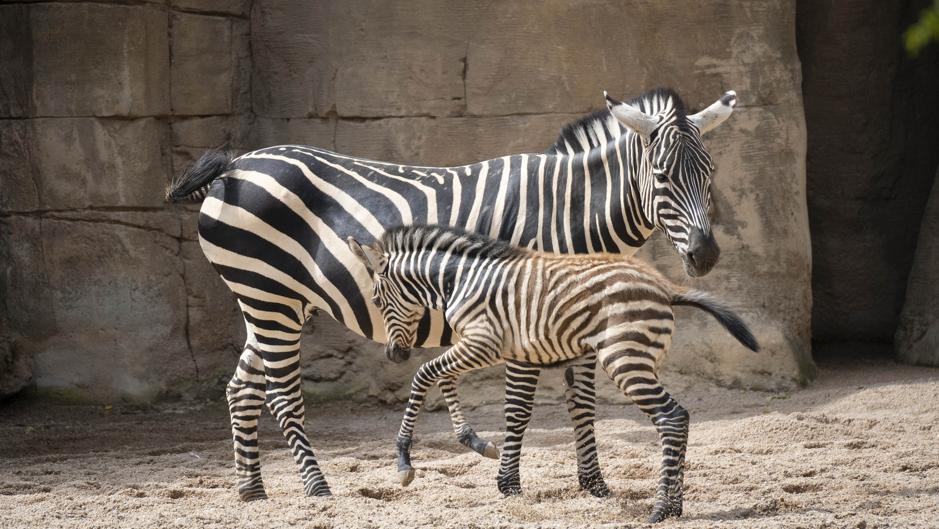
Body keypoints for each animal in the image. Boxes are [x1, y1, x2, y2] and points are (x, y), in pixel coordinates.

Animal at [169, 86, 740, 500]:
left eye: (711, 172)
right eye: (662, 175)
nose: (706, 256)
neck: (569, 211)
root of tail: (236, 166)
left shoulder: (576, 312)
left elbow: (582, 402)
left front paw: (595, 484)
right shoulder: (524, 309)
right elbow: (520, 405)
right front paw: (508, 484)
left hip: (271, 301)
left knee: (241, 390)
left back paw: (252, 492)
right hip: (271, 297)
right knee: (282, 396)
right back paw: (317, 489)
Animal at [348, 225, 760, 520]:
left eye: (377, 300)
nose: (394, 354)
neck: (460, 280)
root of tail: (663, 288)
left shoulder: (484, 342)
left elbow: (424, 374)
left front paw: (403, 460)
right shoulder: (481, 345)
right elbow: (445, 379)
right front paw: (475, 442)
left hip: (625, 360)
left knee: (672, 417)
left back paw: (660, 510)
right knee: (680, 417)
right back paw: (675, 508)